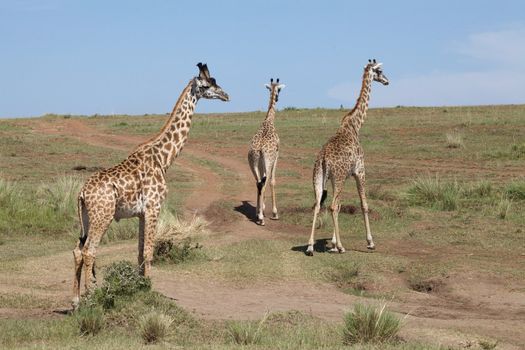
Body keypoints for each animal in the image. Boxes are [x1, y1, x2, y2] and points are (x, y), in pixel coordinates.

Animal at [71, 63, 227, 306]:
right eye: (207, 85)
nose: (226, 95)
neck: (164, 158)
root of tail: (81, 194)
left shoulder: (142, 213)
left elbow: (140, 251)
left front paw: (139, 285)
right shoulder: (154, 206)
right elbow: (149, 251)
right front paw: (150, 289)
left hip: (87, 218)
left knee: (78, 251)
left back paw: (76, 300)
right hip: (103, 216)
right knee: (89, 251)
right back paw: (91, 295)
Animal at [304, 59, 386, 258]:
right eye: (380, 71)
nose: (387, 81)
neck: (355, 125)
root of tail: (323, 159)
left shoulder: (340, 178)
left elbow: (341, 205)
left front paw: (332, 243)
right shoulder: (359, 171)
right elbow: (363, 204)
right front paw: (370, 242)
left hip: (319, 178)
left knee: (318, 205)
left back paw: (310, 247)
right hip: (339, 178)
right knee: (332, 206)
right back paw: (342, 247)